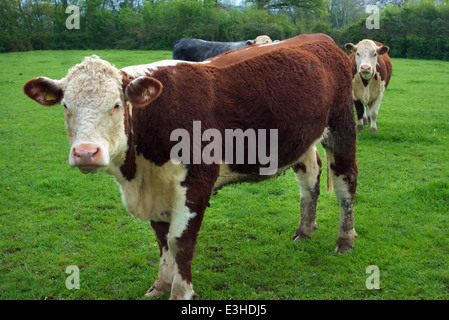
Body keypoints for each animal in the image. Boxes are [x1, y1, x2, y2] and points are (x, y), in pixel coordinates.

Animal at [23, 33, 356, 300]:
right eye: (66, 106)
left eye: (116, 105)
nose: (85, 153)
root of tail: (320, 39)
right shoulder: (156, 188)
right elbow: (162, 240)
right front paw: (160, 284)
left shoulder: (196, 183)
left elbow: (179, 242)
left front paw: (180, 291)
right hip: (302, 139)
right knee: (310, 179)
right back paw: (305, 229)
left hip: (341, 126)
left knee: (345, 183)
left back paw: (344, 240)